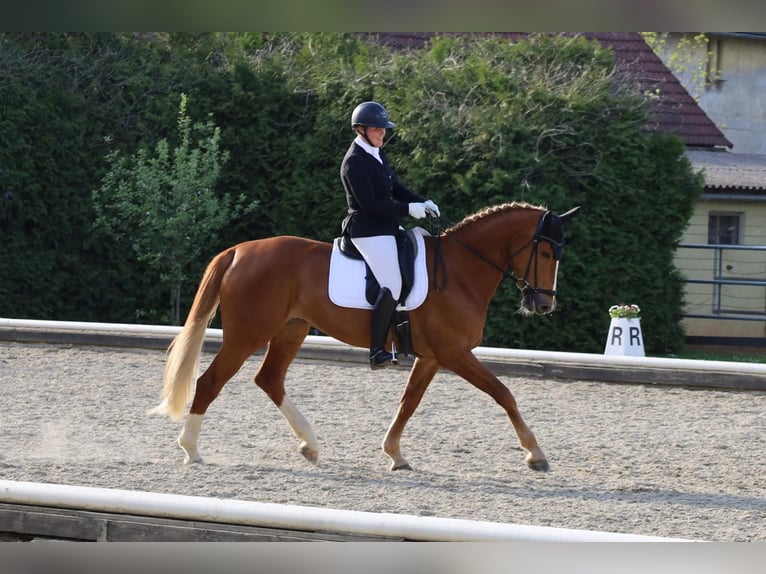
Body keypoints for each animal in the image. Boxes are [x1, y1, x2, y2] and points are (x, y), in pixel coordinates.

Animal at [152, 202, 584, 472]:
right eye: (548, 253)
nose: (544, 304)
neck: (461, 270)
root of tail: (239, 251)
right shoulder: (454, 353)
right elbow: (503, 393)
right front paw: (535, 454)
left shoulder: (432, 357)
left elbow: (409, 403)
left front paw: (394, 454)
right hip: (247, 335)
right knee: (210, 382)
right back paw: (191, 449)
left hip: (291, 330)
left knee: (270, 379)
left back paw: (310, 445)